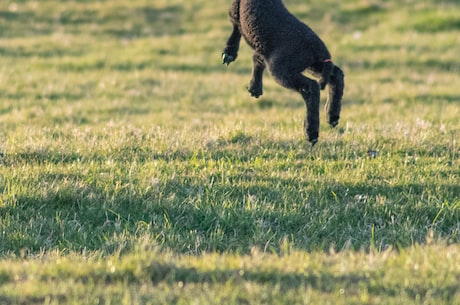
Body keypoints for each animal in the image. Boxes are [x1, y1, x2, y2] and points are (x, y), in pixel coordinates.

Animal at [223, 0, 344, 144]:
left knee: (311, 87)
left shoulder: (237, 10)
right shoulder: (263, 49)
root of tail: (316, 49)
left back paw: (311, 131)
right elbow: (258, 59)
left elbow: (234, 20)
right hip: (313, 65)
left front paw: (229, 52)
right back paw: (332, 116)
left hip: (282, 69)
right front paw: (255, 88)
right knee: (336, 74)